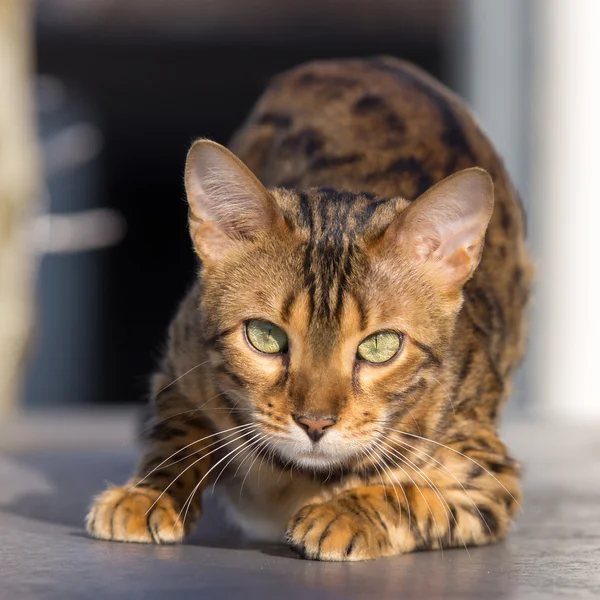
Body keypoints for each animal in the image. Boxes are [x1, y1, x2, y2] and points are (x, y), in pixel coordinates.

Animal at [86, 58, 532, 560]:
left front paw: (344, 512)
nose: (315, 423)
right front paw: (146, 493)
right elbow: (175, 432)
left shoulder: (487, 476)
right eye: (265, 336)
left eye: (381, 346)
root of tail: (361, 60)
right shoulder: (180, 363)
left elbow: (412, 493)